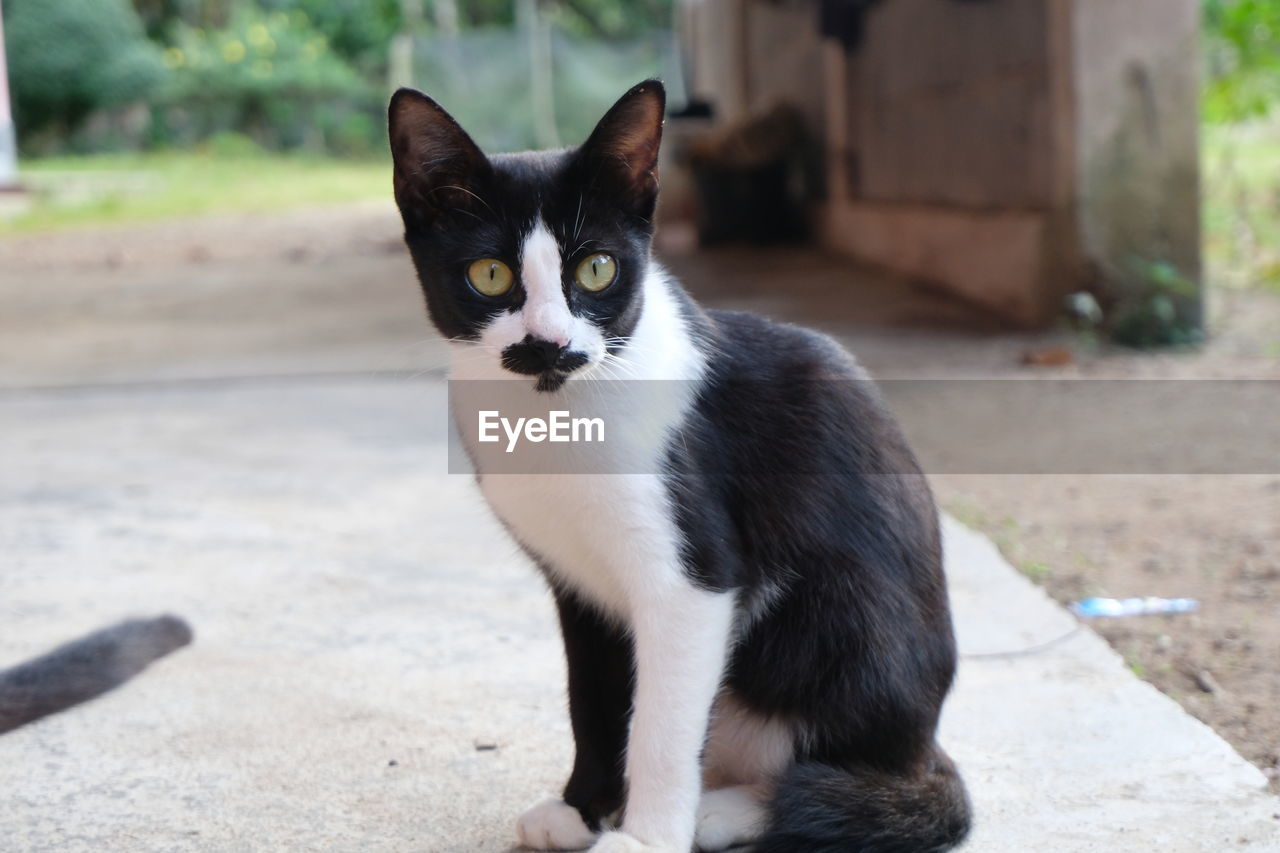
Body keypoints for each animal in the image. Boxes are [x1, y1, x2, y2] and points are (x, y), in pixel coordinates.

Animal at [386, 79, 967, 850]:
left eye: (596, 268)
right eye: (490, 274)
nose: (550, 342)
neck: (559, 412)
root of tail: (926, 741)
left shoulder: (694, 581)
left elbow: (660, 729)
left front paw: (647, 835)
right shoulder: (579, 589)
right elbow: (594, 700)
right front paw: (582, 807)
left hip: (841, 615)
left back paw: (729, 810)